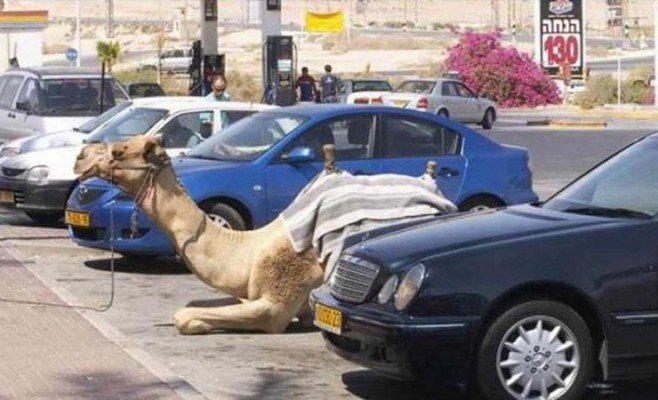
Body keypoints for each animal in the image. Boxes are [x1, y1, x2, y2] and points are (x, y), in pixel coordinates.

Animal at [74, 136, 452, 334]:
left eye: (120, 150)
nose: (80, 156)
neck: (248, 249)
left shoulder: (275, 306)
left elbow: (185, 315)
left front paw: (193, 323)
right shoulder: (250, 294)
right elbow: (197, 305)